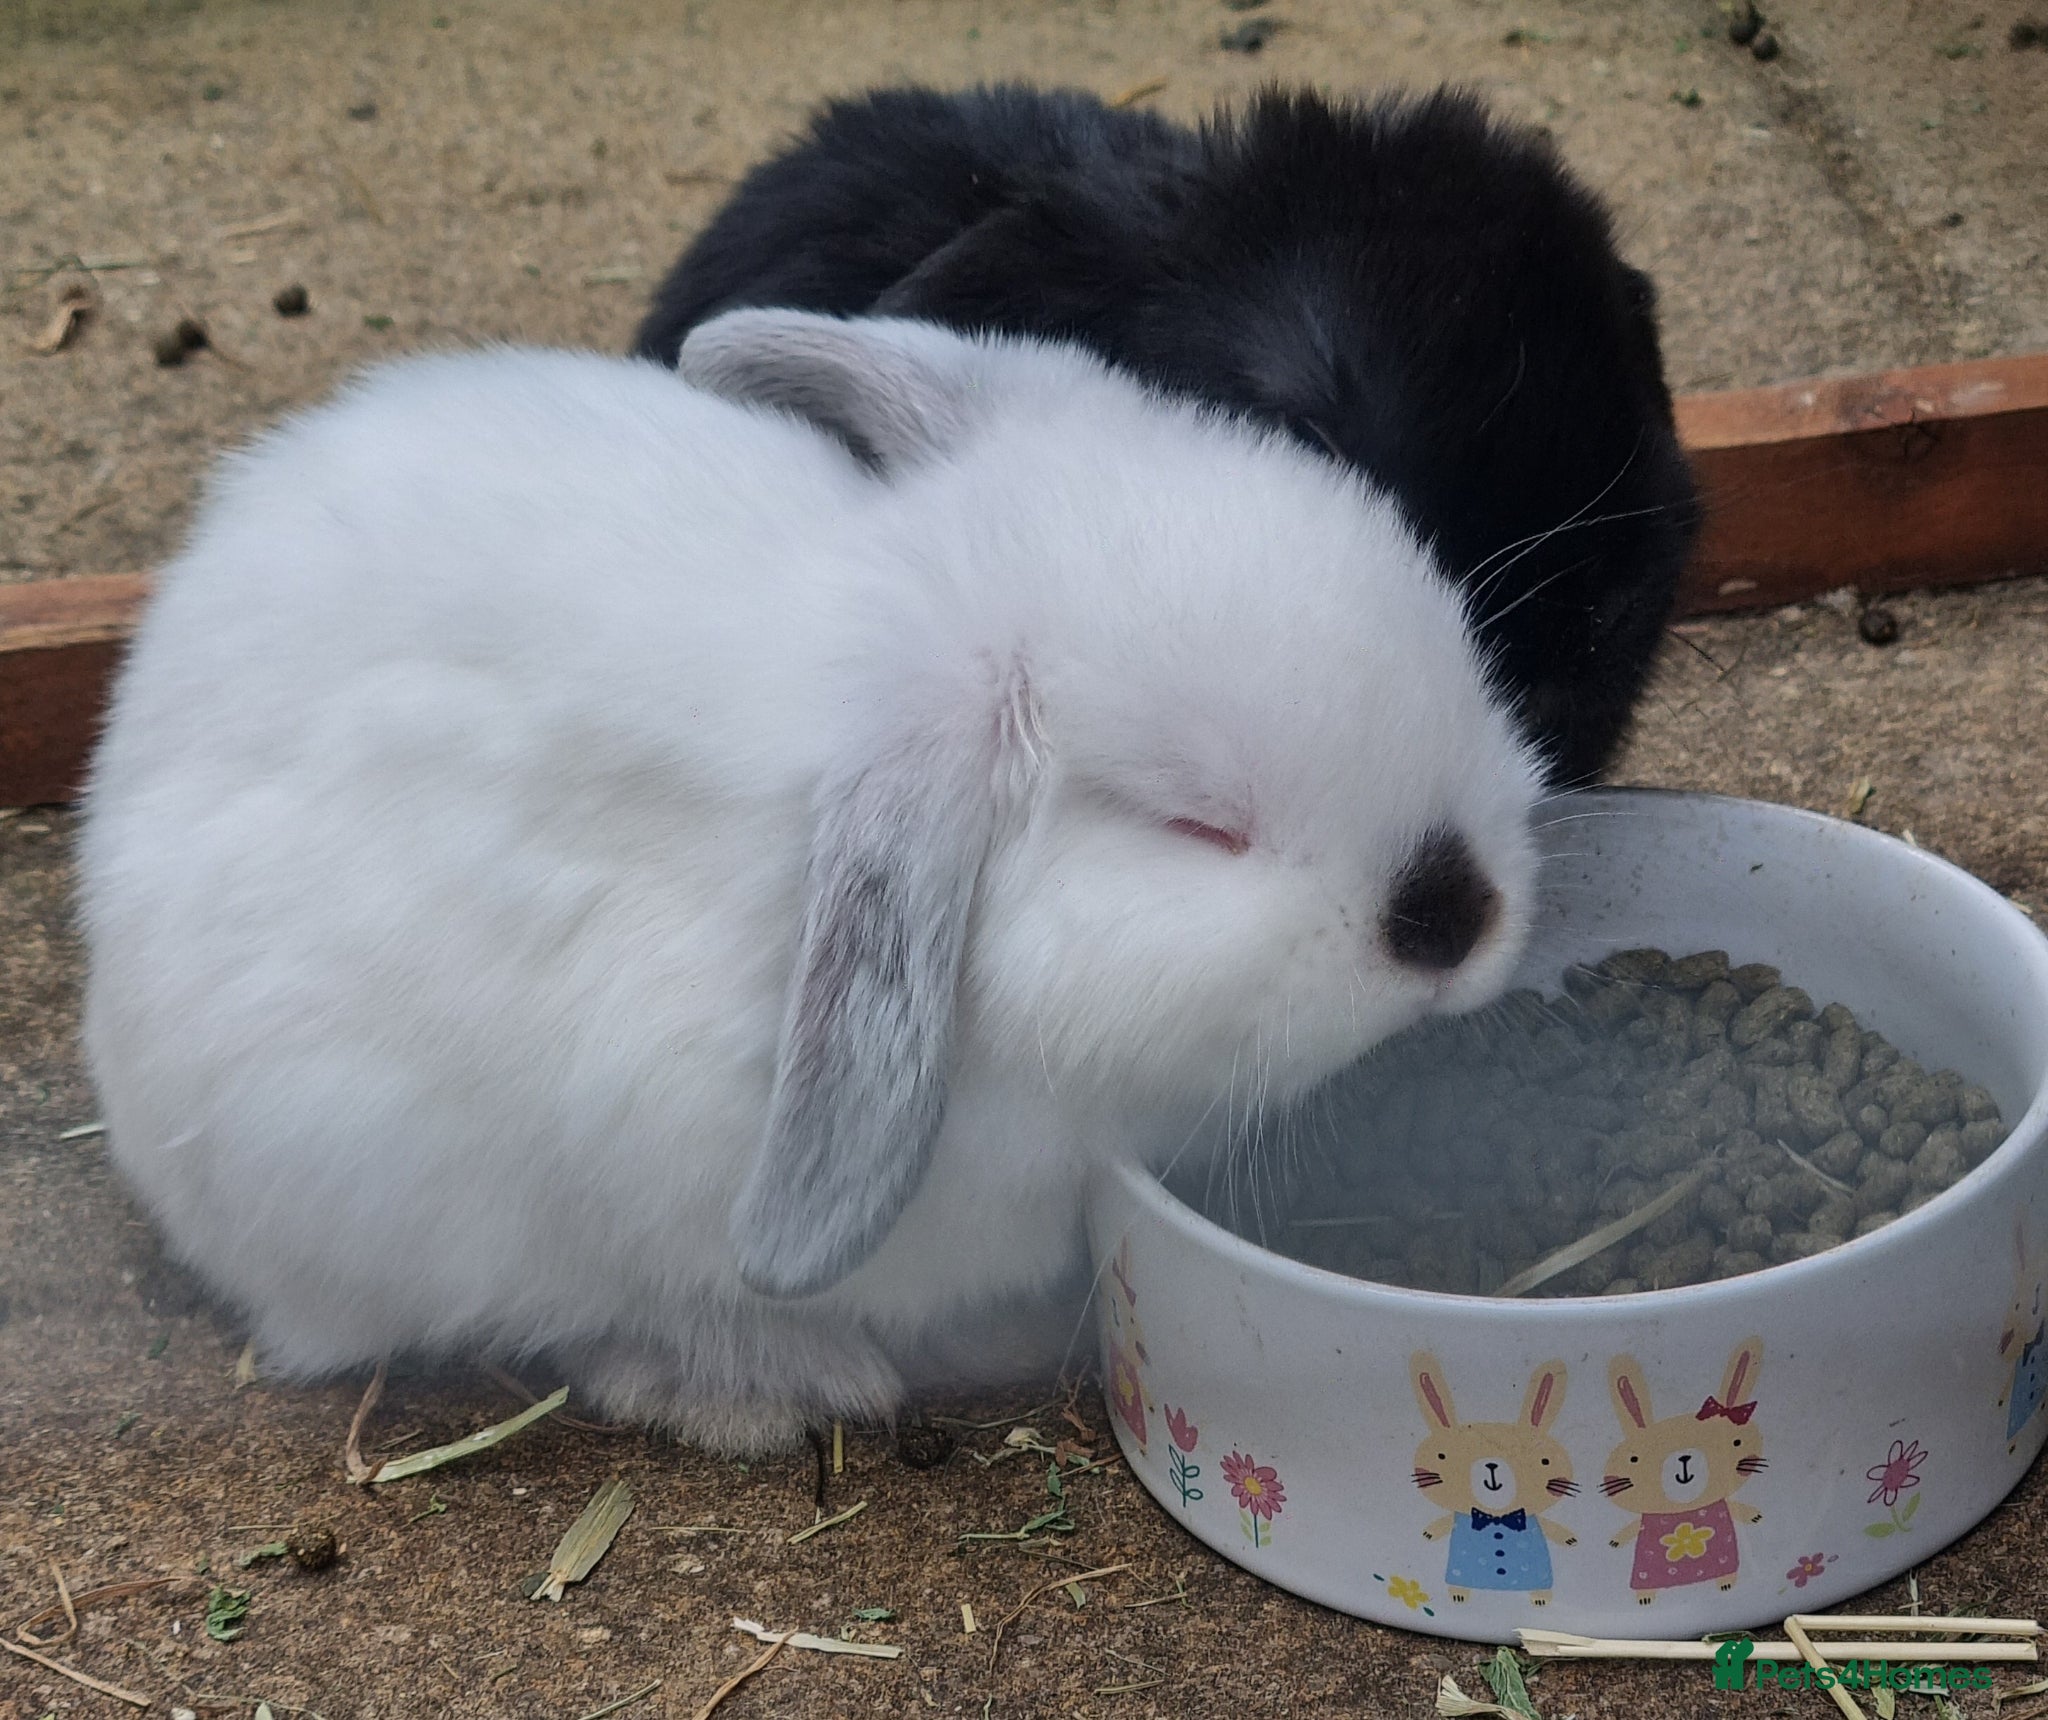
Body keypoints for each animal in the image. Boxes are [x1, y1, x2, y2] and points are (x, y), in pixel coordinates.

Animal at [1409, 1352, 1579, 1606]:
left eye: (1545, 1461)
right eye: (1441, 1456)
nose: (1491, 1465)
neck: (1497, 1517)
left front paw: (1569, 1539)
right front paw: (1429, 1533)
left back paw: (1540, 1598)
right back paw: (1459, 1594)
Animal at [1601, 1338, 1767, 1604]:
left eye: (1736, 1442)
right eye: (1633, 1458)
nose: (1684, 1458)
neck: (1683, 1511)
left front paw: (1755, 1516)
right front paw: (1615, 1541)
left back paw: (1725, 1584)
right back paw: (1645, 1597)